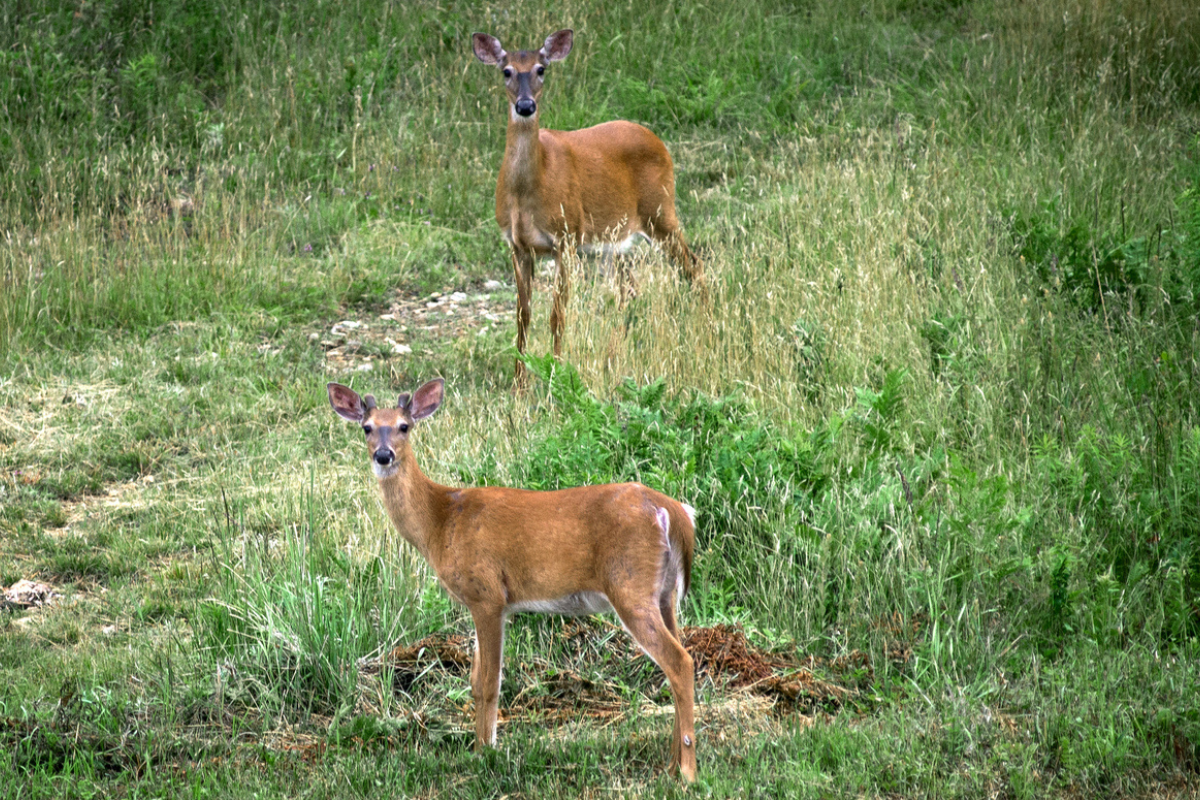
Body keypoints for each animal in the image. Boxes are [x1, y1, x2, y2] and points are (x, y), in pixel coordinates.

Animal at [326, 378, 699, 782]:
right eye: (367, 427)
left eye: (403, 426)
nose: (384, 455)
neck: (441, 520)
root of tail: (673, 511)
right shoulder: (488, 604)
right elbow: (476, 681)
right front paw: (482, 747)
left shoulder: (487, 594)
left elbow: (489, 682)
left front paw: (485, 753)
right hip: (664, 593)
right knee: (677, 659)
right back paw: (670, 764)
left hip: (629, 584)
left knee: (680, 661)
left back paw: (687, 772)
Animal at [472, 29, 704, 383]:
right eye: (506, 71)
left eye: (541, 69)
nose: (525, 105)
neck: (527, 194)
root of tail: (658, 141)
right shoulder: (516, 244)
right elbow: (523, 316)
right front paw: (518, 384)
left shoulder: (565, 236)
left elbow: (557, 314)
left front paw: (555, 373)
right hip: (614, 239)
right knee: (629, 290)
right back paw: (614, 358)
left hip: (661, 211)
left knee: (694, 266)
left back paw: (706, 330)